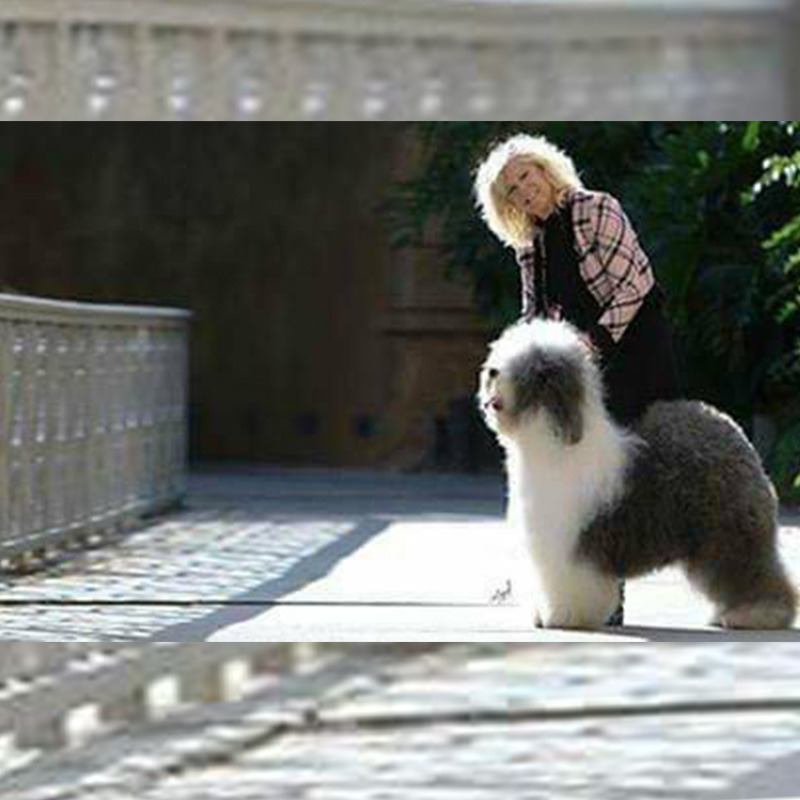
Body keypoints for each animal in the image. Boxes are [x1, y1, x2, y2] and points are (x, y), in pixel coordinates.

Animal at [478, 316, 796, 628]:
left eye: (529, 366)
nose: (492, 371)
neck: (551, 443)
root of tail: (732, 429)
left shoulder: (569, 547)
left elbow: (568, 585)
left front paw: (563, 617)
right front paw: (541, 614)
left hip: (727, 528)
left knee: (751, 569)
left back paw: (759, 612)